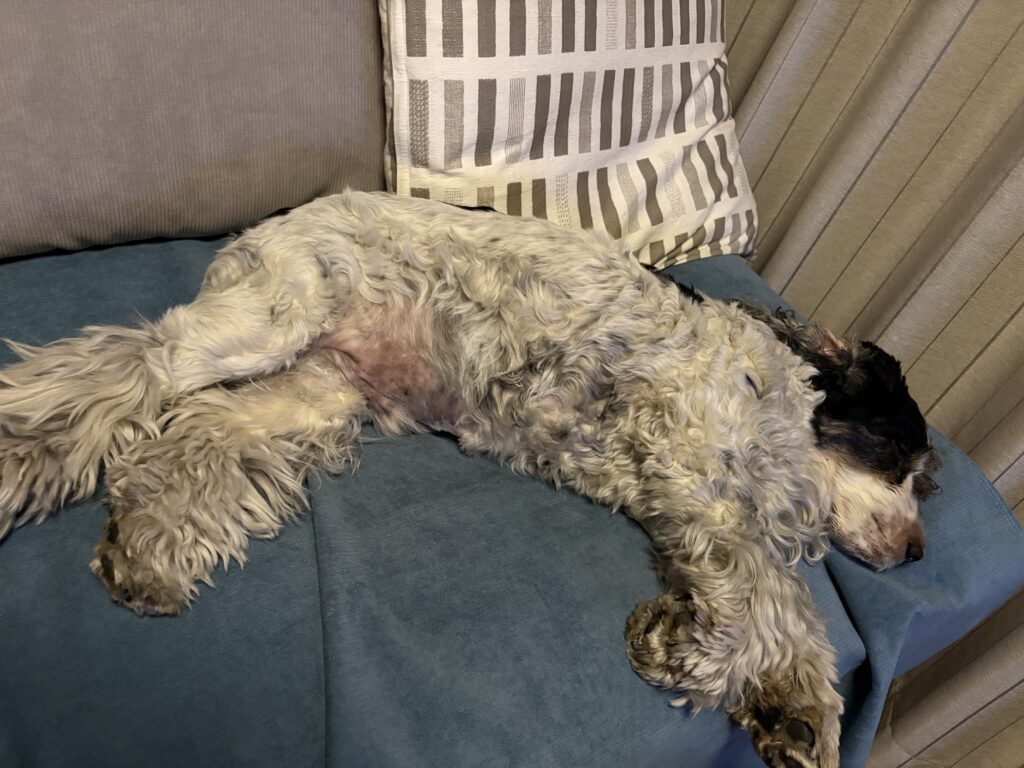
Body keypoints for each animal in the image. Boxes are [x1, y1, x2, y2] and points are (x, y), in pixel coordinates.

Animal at [0, 191, 937, 768]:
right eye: (902, 460)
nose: (923, 552)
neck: (781, 389)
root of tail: (279, 217)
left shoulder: (697, 508)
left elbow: (793, 613)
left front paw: (800, 713)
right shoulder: (700, 476)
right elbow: (766, 605)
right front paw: (692, 654)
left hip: (316, 392)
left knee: (195, 435)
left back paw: (146, 551)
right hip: (263, 324)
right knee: (121, 371)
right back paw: (23, 463)